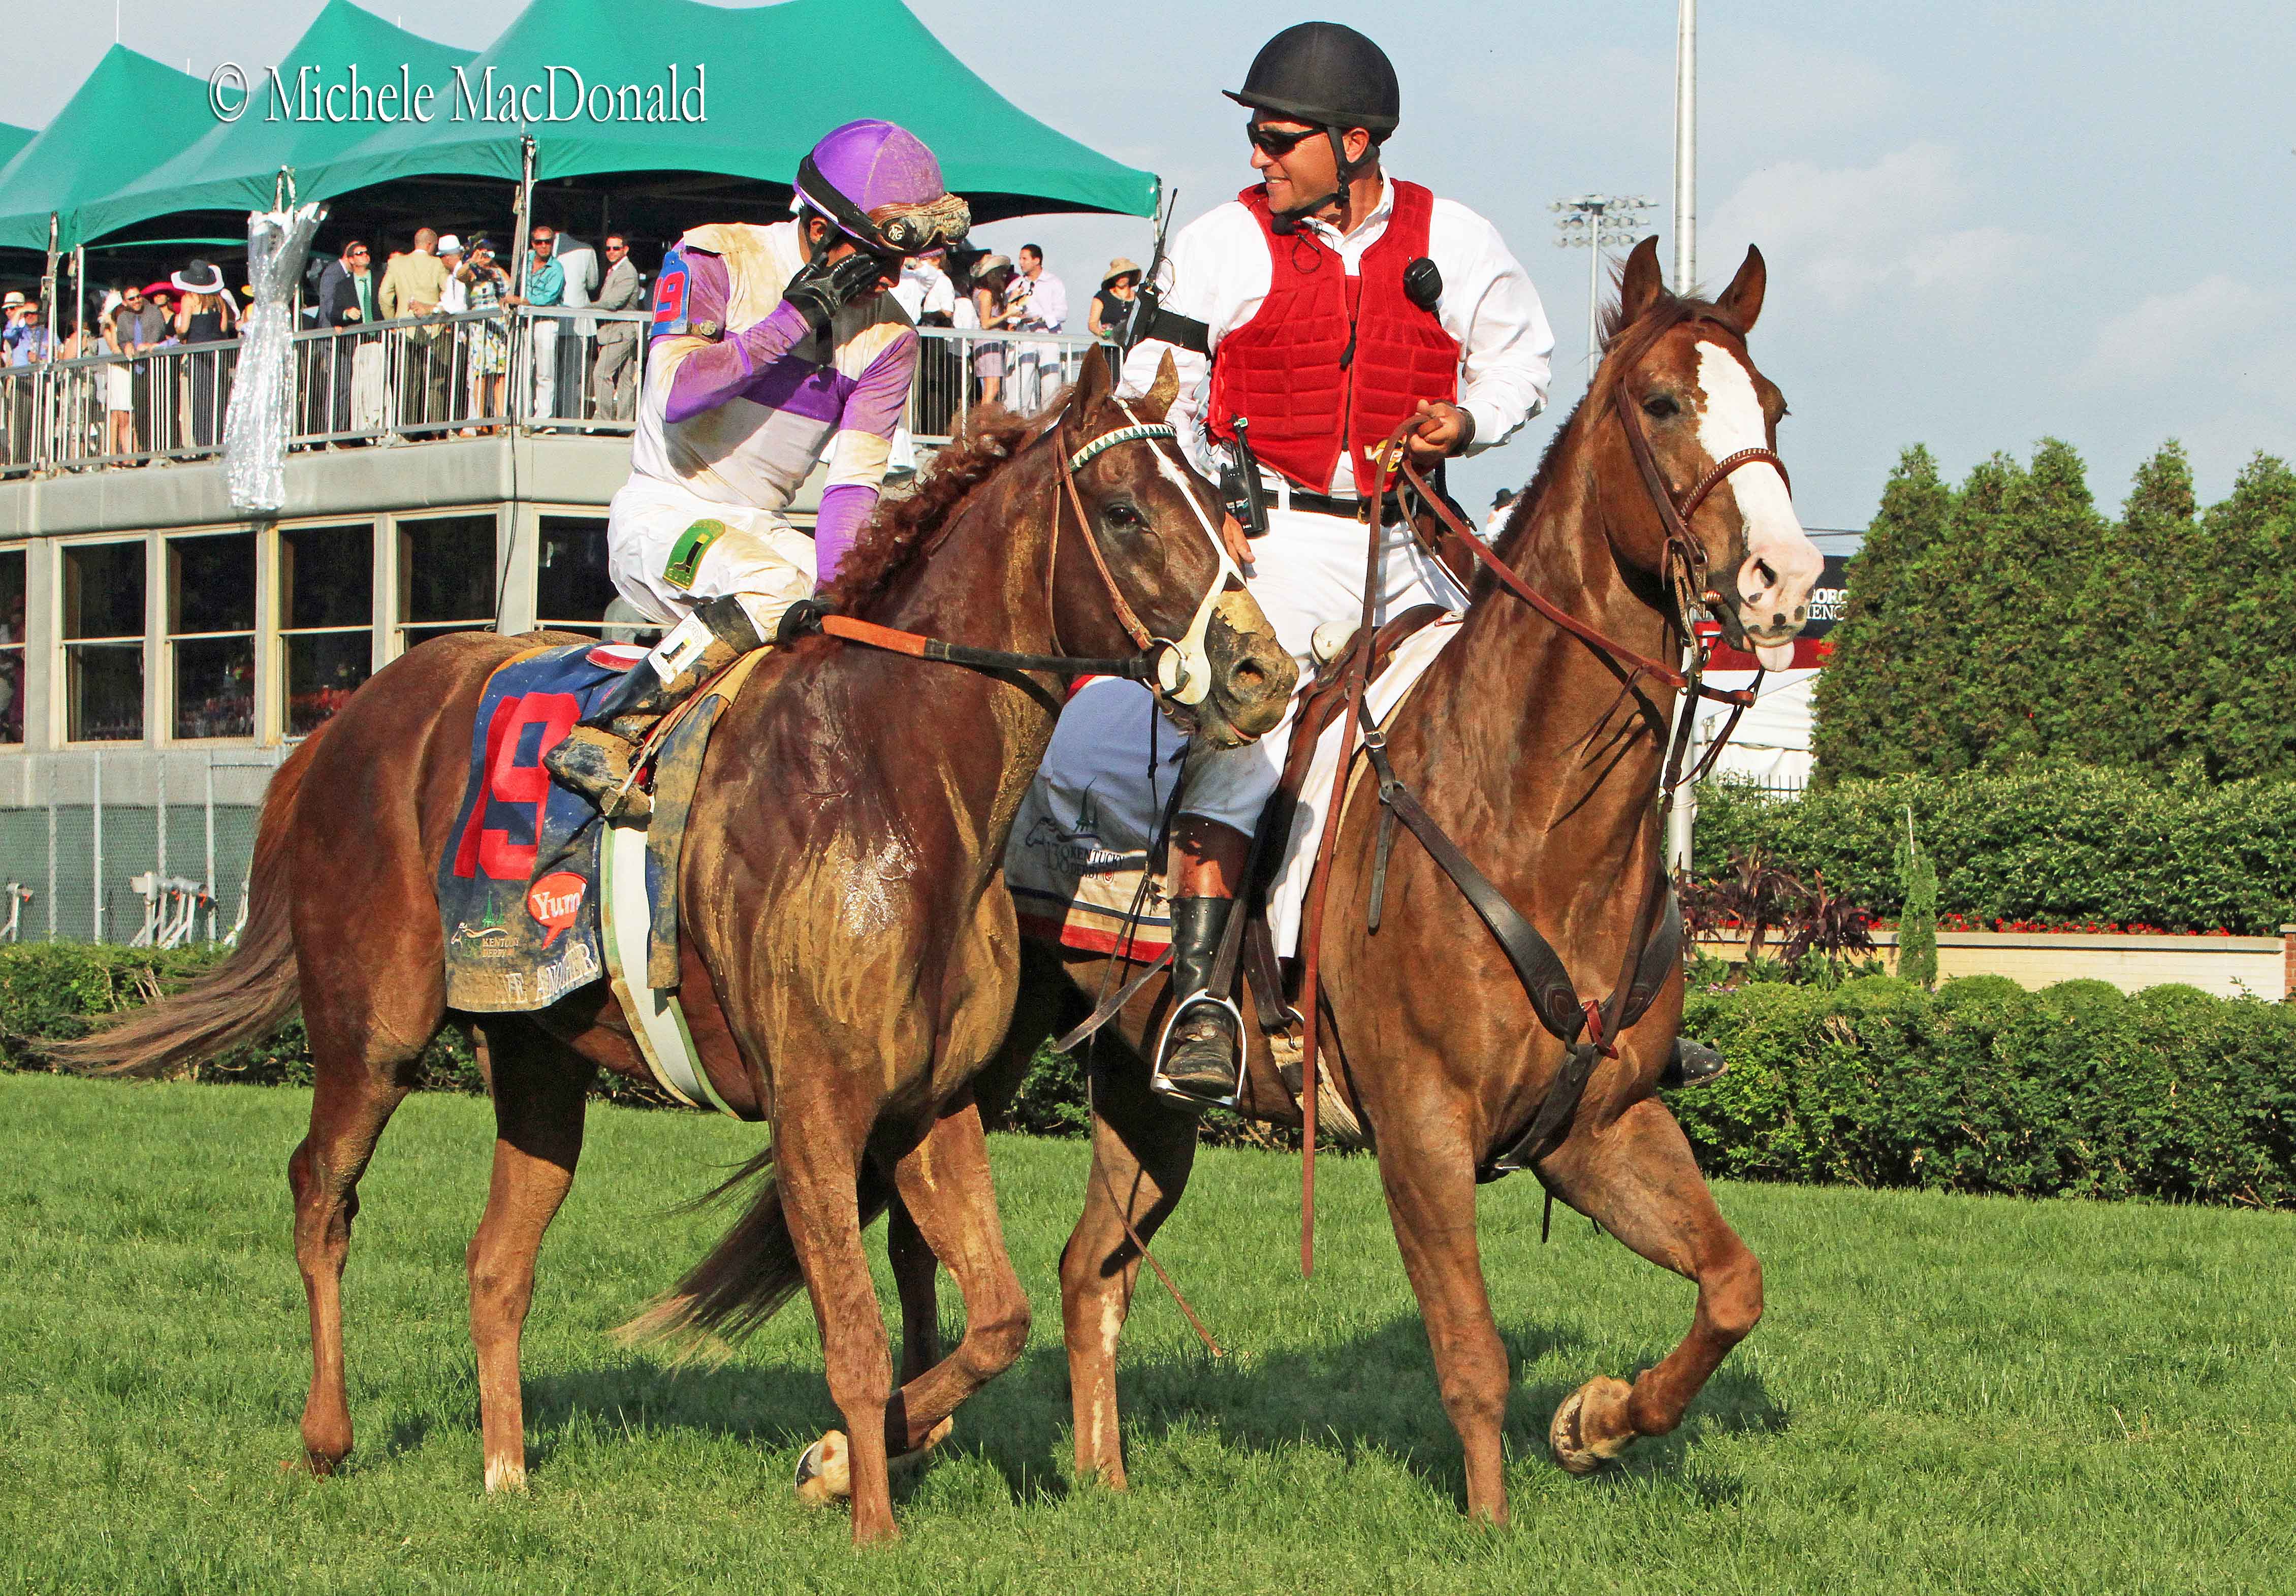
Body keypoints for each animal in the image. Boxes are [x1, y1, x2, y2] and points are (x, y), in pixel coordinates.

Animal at [62, 354, 1304, 1552]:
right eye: (1128, 510)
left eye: (1225, 512)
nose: (1264, 672)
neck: (891, 781)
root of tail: (335, 727)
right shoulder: (815, 1104)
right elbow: (856, 1335)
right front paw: (870, 1518)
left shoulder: (931, 1099)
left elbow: (998, 1315)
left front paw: (849, 1460)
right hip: (372, 1029)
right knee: (322, 1193)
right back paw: (327, 1438)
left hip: (537, 1052)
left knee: (495, 1260)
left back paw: (506, 1473)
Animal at [973, 237, 1827, 1524]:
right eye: (1662, 402)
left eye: (1771, 405)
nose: (1785, 575)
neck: (1532, 807)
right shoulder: (1422, 1127)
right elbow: (1469, 1349)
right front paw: (1492, 1521)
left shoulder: (1599, 1123)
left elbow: (1733, 1282)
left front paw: (1597, 1420)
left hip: (1139, 1090)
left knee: (1090, 1268)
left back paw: (1100, 1474)